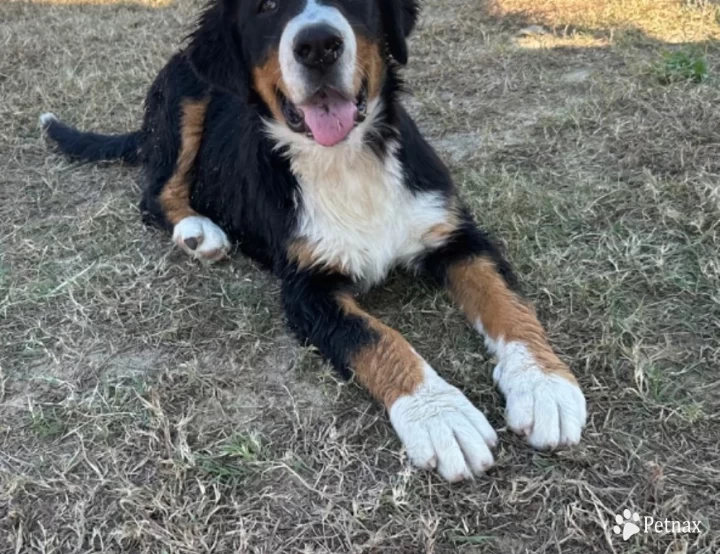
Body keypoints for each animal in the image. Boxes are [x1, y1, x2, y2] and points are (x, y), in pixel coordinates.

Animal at [39, 0, 588, 480]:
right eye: (265, 7)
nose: (318, 45)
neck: (344, 160)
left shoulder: (456, 235)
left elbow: (506, 302)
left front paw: (542, 385)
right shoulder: (306, 289)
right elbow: (377, 339)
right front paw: (440, 417)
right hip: (186, 99)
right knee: (155, 194)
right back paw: (199, 231)